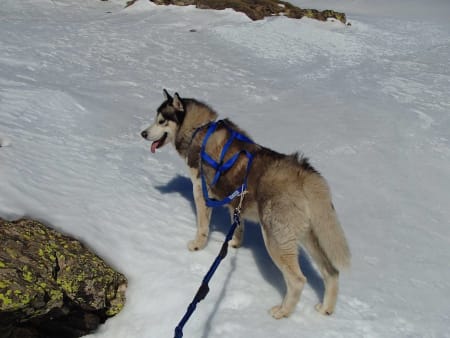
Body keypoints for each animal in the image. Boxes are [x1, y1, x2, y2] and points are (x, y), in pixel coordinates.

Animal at [142, 90, 352, 320]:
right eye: (155, 118)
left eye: (161, 121)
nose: (143, 133)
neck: (199, 128)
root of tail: (305, 175)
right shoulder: (234, 201)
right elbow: (238, 224)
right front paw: (234, 243)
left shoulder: (201, 191)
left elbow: (202, 226)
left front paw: (197, 245)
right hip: (309, 237)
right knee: (331, 272)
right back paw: (326, 308)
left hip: (276, 239)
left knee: (297, 280)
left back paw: (283, 311)